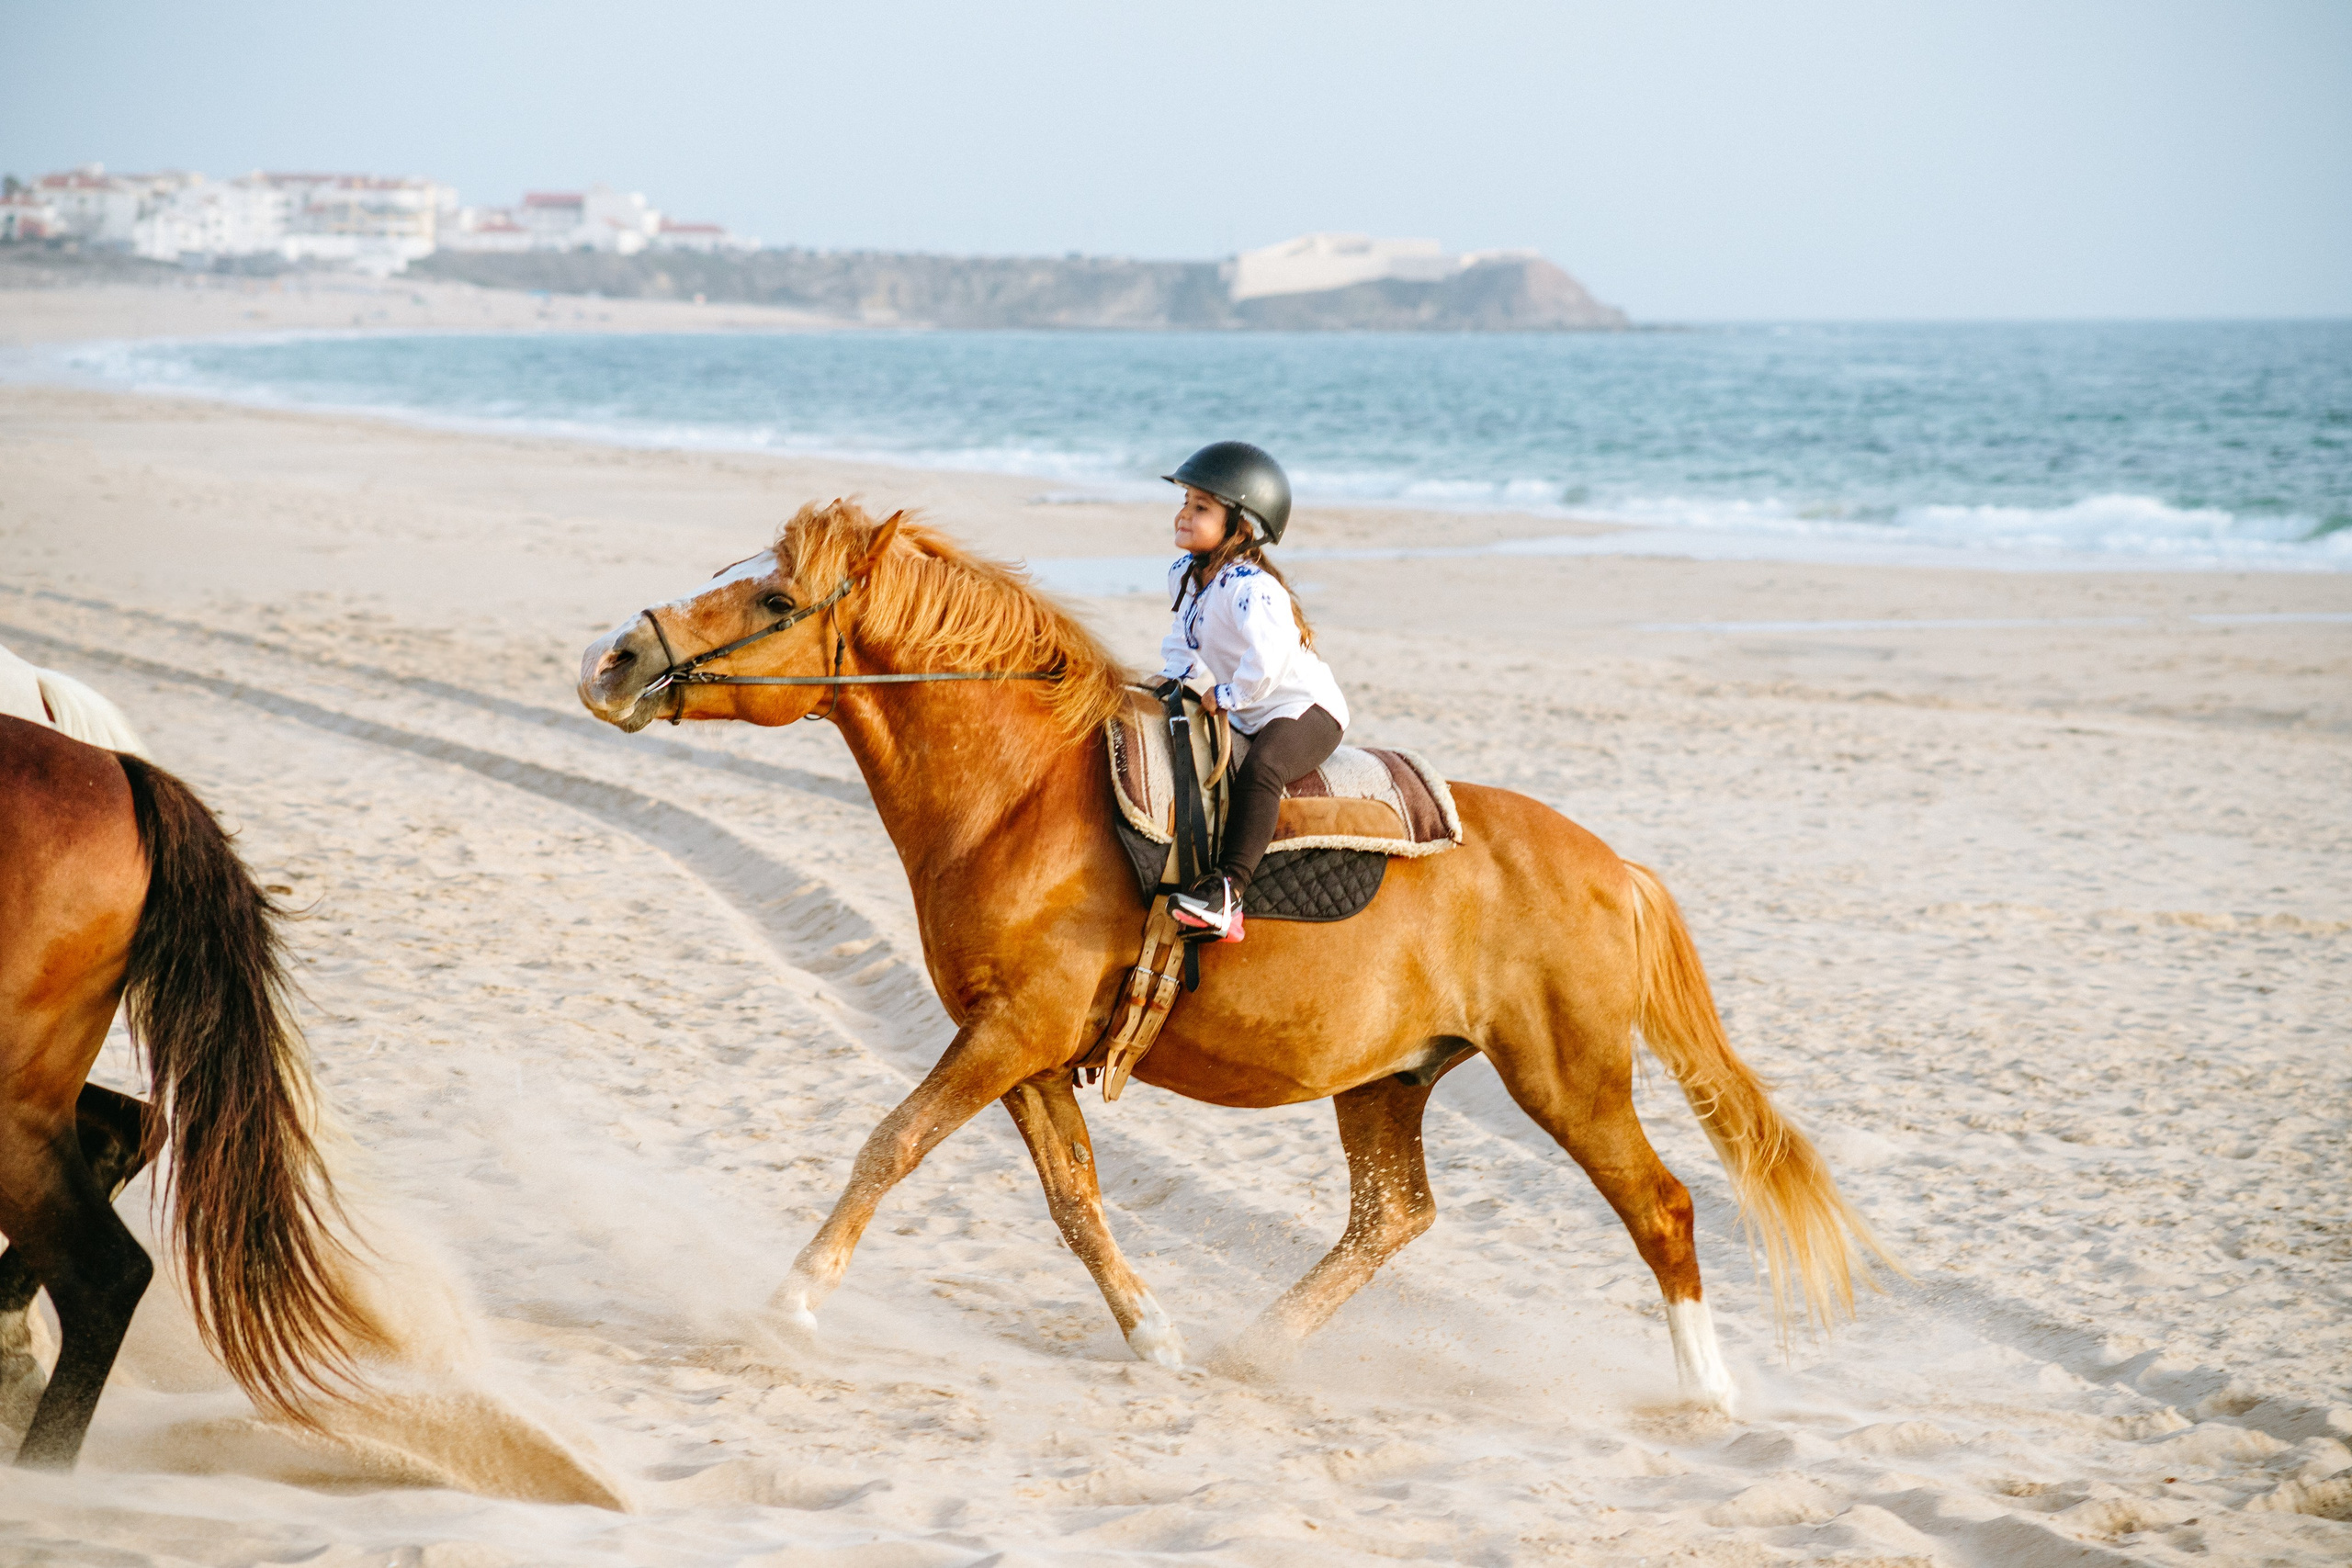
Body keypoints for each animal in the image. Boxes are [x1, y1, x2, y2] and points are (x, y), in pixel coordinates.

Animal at [576, 500, 1893, 1408]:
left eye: (773, 603)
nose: (613, 660)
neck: (1022, 800)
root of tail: (1613, 867)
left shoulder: (1010, 1034)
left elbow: (891, 1145)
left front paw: (789, 1304)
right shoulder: (1026, 1047)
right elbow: (1073, 1197)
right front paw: (1154, 1338)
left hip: (1569, 1079)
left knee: (1660, 1205)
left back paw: (1707, 1391)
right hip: (1389, 1081)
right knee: (1391, 1217)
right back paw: (1252, 1349)